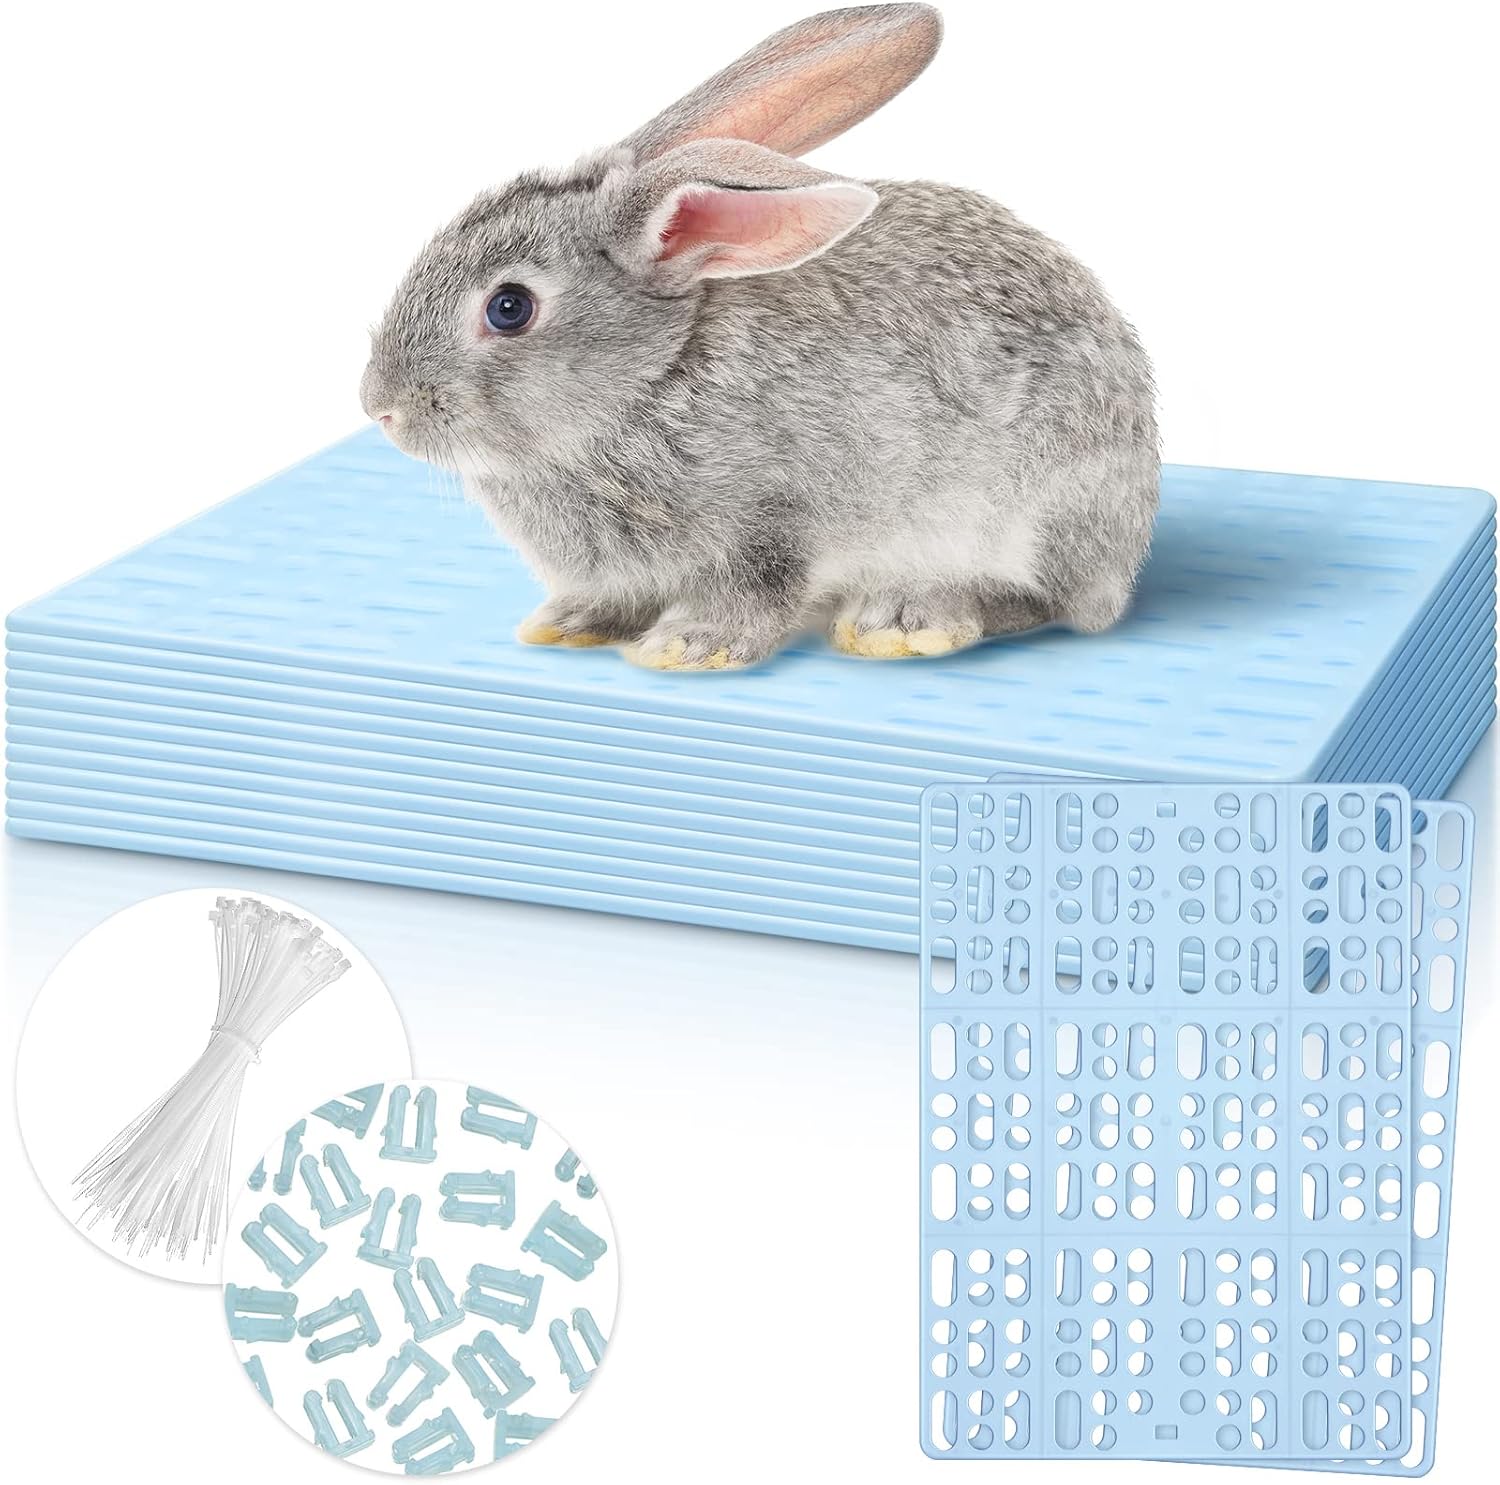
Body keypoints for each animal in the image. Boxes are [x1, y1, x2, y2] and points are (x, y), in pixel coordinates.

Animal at [360, 3, 1158, 671]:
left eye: (509, 308)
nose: (381, 408)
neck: (652, 378)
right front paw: (570, 622)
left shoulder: (766, 523)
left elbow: (753, 590)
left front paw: (687, 646)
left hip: (1034, 507)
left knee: (1044, 599)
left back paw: (905, 619)